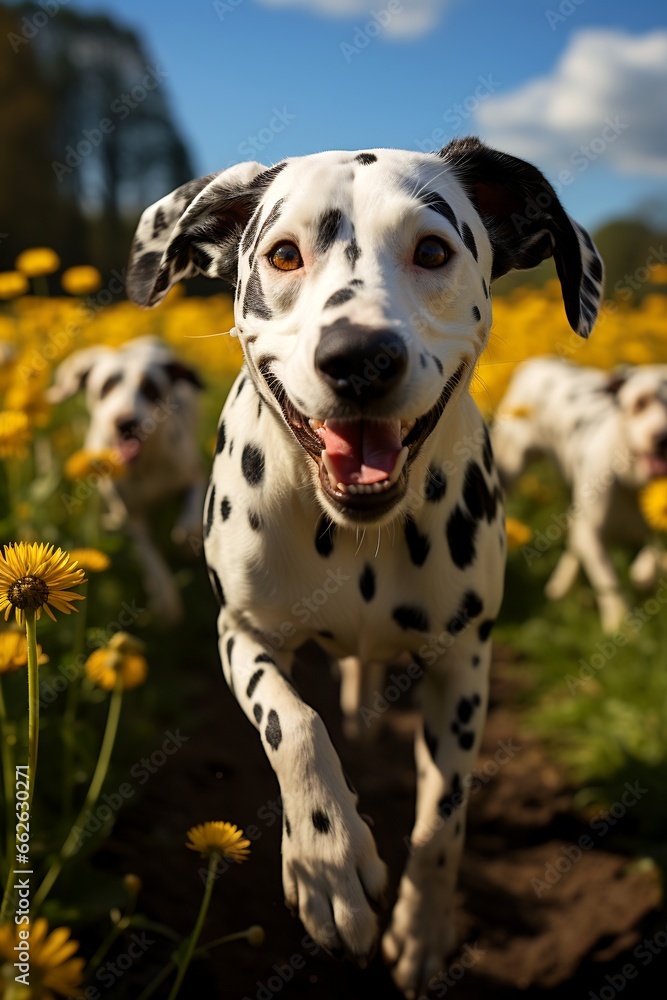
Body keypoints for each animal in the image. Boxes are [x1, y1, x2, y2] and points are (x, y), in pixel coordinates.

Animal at [48, 338, 205, 616]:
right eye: (106, 386)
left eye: (150, 388)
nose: (125, 422)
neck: (145, 468)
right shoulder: (130, 515)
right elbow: (148, 556)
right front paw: (165, 597)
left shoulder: (194, 474)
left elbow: (190, 517)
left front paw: (187, 542)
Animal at [125, 137, 604, 996]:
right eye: (284, 253)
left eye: (433, 251)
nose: (359, 359)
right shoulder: (240, 632)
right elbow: (292, 723)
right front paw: (327, 860)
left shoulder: (464, 663)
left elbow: (443, 815)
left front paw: (422, 928)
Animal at [490, 360, 667, 632]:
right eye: (640, 403)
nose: (662, 439)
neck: (634, 485)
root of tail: (537, 363)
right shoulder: (594, 534)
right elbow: (608, 581)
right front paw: (619, 624)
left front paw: (644, 572)